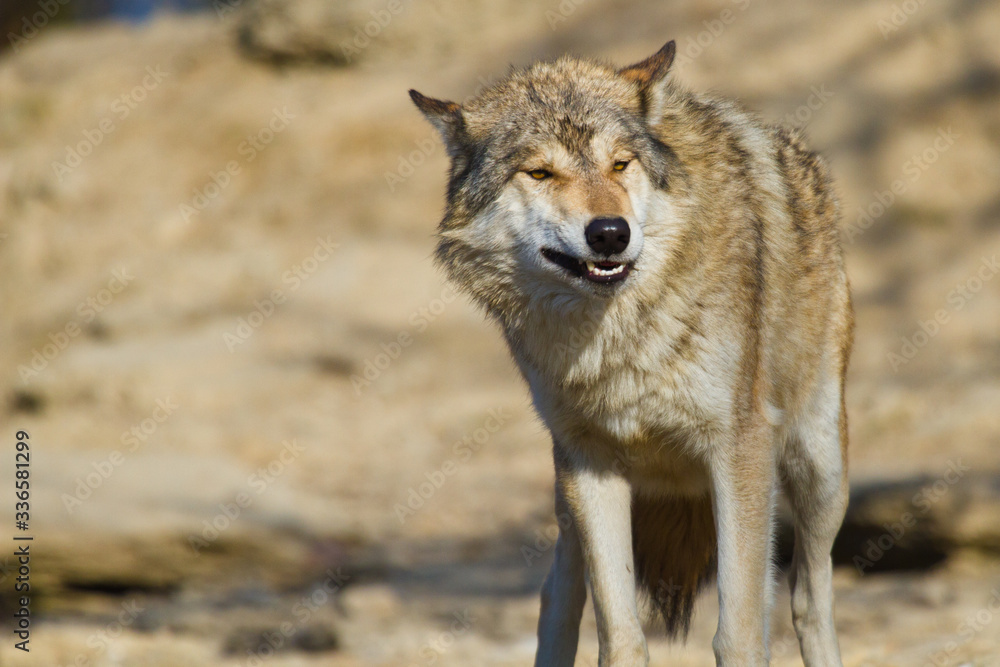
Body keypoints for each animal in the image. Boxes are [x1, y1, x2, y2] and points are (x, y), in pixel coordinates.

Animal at [410, 39, 856, 664]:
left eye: (620, 164)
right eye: (540, 172)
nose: (609, 233)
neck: (619, 338)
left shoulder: (739, 448)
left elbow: (740, 632)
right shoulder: (590, 463)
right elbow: (619, 635)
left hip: (819, 470)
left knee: (809, 600)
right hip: (569, 499)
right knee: (555, 597)